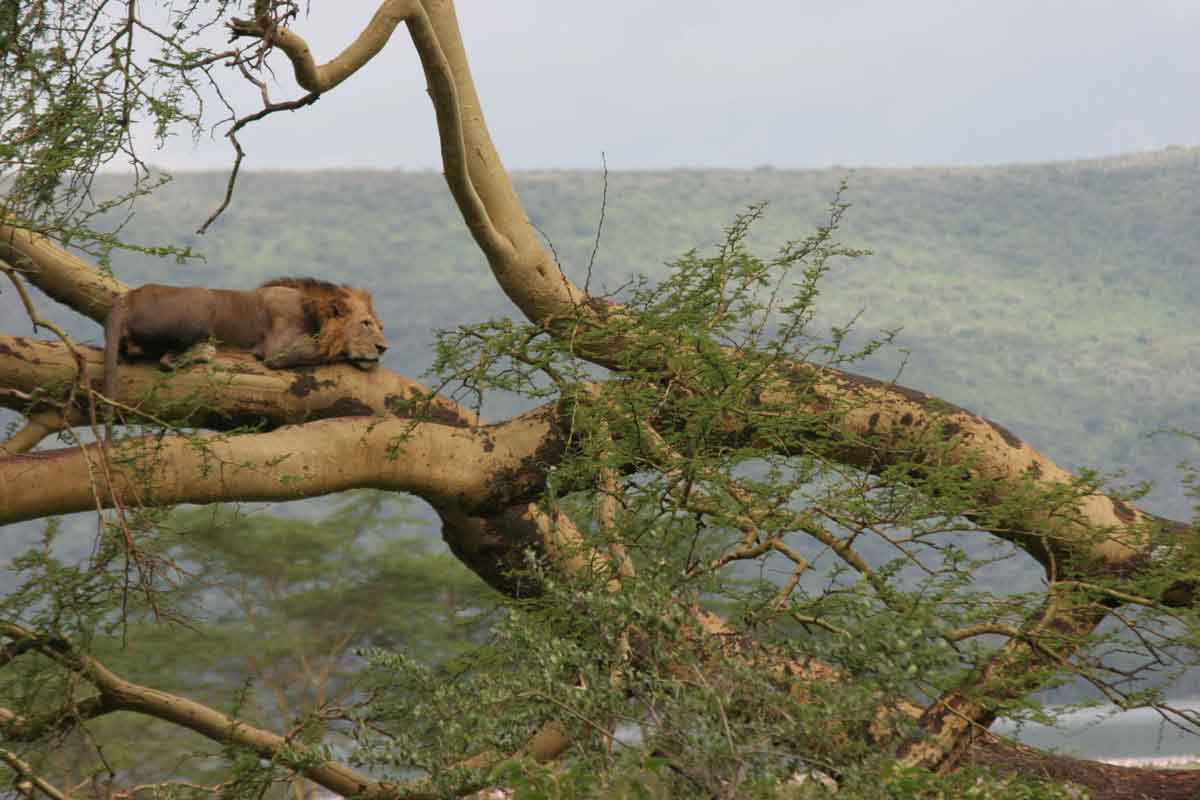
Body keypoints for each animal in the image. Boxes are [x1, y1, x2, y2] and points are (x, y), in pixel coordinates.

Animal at [102, 277, 388, 407]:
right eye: (365, 323)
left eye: (380, 326)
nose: (384, 348)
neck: (312, 312)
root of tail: (127, 300)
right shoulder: (279, 348)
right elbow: (325, 349)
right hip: (203, 297)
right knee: (165, 360)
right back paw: (205, 351)